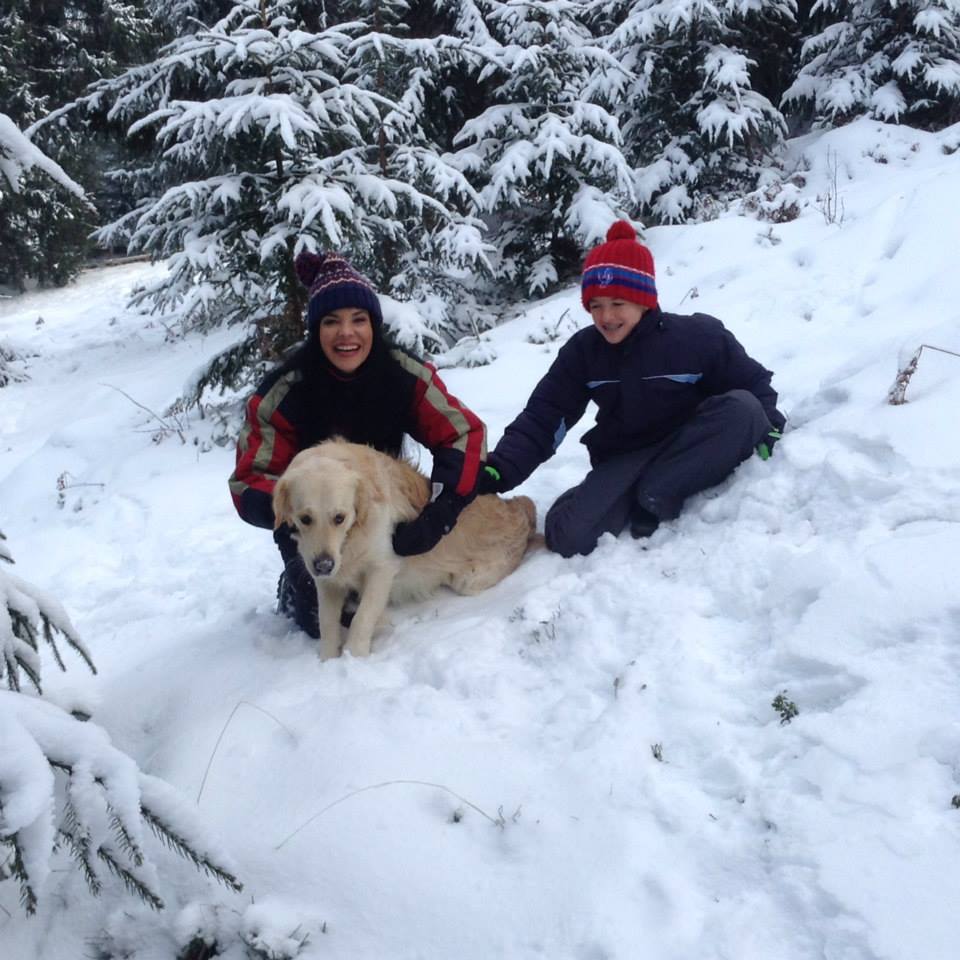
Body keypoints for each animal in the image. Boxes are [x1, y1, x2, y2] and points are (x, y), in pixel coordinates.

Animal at [274, 440, 536, 660]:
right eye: (305, 519)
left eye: (340, 517)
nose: (323, 565)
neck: (351, 540)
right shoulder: (328, 581)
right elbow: (327, 623)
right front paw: (327, 660)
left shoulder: (382, 568)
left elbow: (362, 617)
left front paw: (355, 657)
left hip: (469, 580)